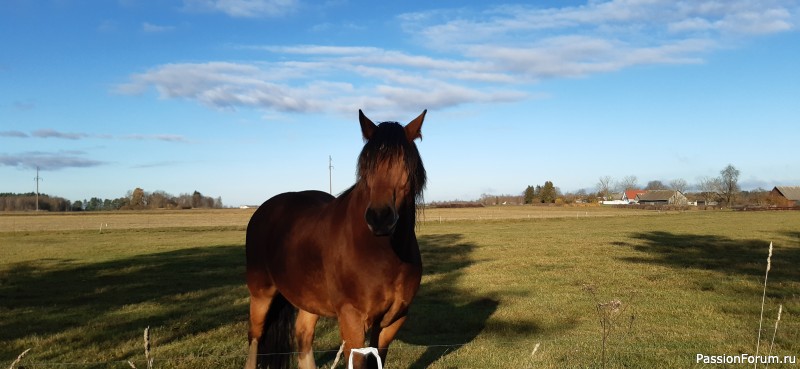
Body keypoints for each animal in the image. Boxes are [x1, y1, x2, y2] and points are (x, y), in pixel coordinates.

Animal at [247, 109, 428, 368]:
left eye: (406, 165)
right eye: (366, 167)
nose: (379, 217)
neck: (383, 254)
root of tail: (264, 209)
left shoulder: (393, 322)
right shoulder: (352, 319)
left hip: (309, 299)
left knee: (303, 336)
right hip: (261, 294)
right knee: (255, 338)